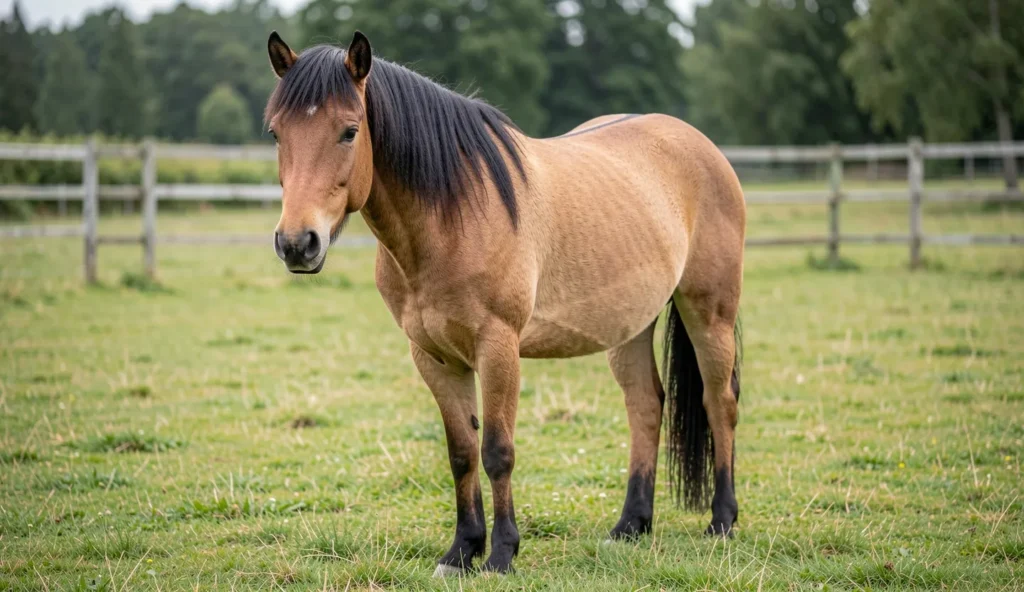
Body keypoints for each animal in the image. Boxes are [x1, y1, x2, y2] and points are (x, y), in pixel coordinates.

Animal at [265, 31, 745, 575]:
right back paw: (630, 526)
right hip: (630, 325)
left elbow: (497, 451)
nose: (297, 244)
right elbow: (461, 452)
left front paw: (500, 553)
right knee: (645, 404)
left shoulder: (498, 348)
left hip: (710, 311)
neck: (453, 215)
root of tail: (700, 146)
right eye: (277, 134)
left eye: (349, 132)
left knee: (719, 402)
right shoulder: (434, 356)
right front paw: (460, 551)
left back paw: (722, 521)